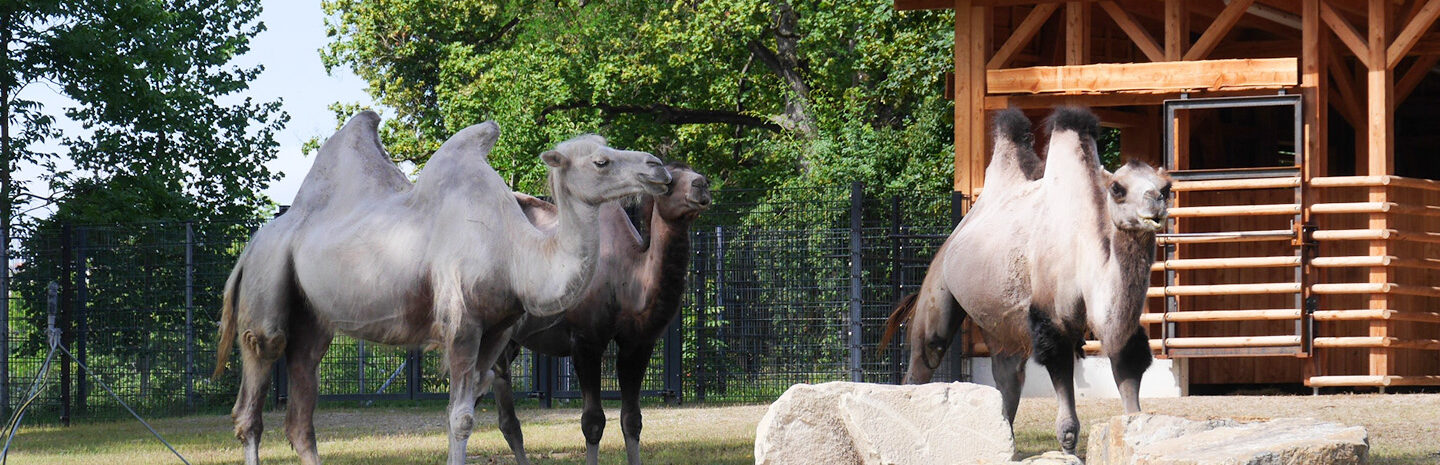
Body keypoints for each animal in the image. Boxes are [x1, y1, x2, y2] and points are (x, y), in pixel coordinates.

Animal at [208, 112, 668, 465]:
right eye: (601, 161)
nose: (658, 167)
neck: (515, 253)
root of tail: (250, 245)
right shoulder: (462, 325)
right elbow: (460, 419)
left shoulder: (496, 331)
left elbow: (466, 412)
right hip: (268, 284)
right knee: (254, 391)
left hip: (313, 320)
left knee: (301, 411)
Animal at [486, 164, 711, 465]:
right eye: (669, 181)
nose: (702, 185)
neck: (627, 274)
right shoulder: (585, 342)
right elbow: (593, 422)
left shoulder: (638, 345)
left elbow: (632, 420)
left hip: (508, 340)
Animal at [875, 106, 1169, 454]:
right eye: (1118, 189)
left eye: (1166, 187)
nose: (1156, 202)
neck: (1081, 249)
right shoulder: (1051, 319)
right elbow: (1067, 425)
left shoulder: (1115, 324)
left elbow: (1127, 365)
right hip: (938, 287)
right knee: (926, 355)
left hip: (1000, 325)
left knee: (1008, 378)